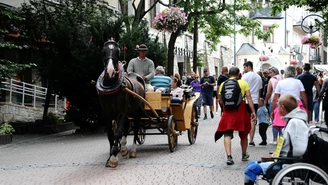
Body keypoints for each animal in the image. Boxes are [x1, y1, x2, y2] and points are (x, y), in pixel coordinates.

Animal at [96, 38, 145, 167]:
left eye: (117, 52)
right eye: (103, 51)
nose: (110, 72)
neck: (111, 88)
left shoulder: (122, 112)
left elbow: (117, 133)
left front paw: (113, 157)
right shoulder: (106, 114)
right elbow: (111, 135)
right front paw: (111, 155)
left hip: (137, 112)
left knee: (136, 129)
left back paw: (132, 150)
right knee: (126, 128)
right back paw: (123, 148)